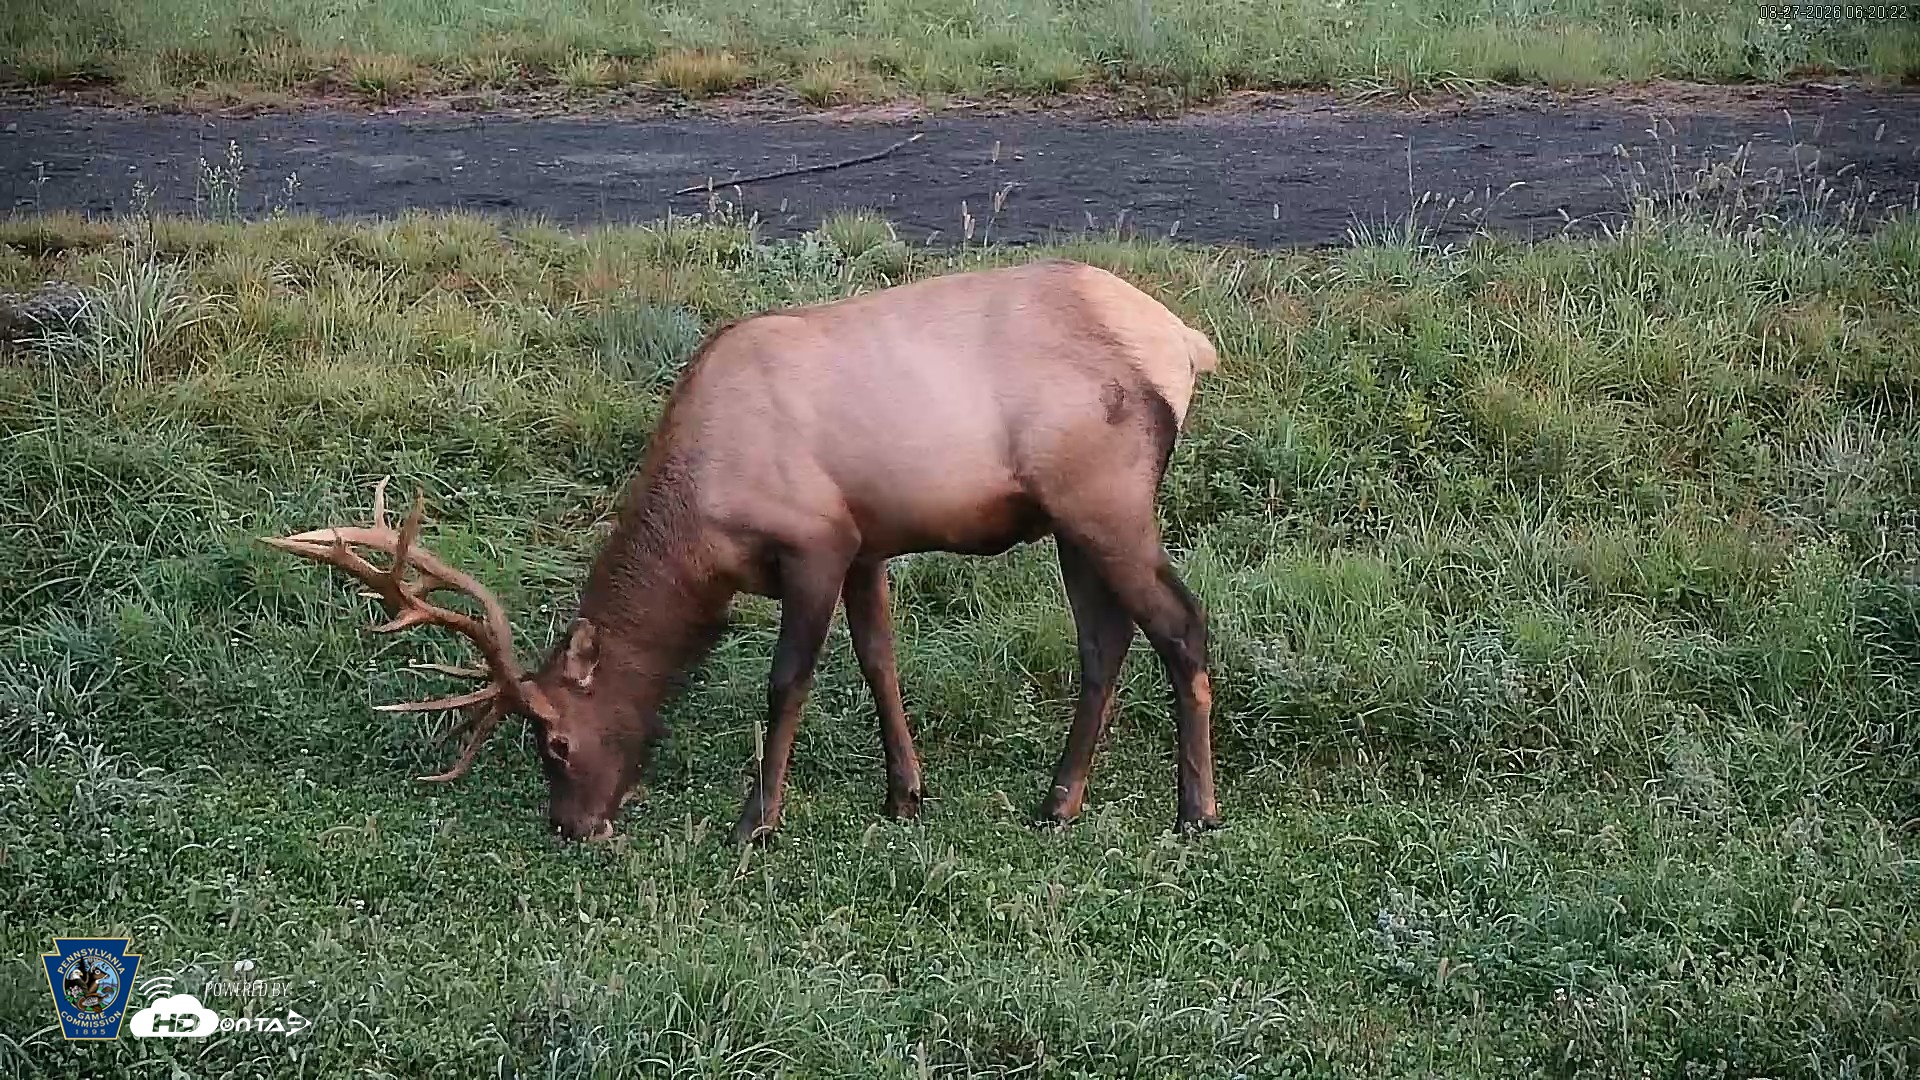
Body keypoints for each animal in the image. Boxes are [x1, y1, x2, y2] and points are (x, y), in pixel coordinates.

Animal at [261, 258, 1222, 845]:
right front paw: (905, 794)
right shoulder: (867, 543)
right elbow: (879, 659)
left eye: (554, 742)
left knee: (1182, 623)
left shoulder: (815, 542)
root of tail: (1187, 345)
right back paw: (1058, 802)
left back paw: (1196, 809)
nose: (573, 825)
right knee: (1105, 641)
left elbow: (787, 679)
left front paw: (756, 818)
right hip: (1071, 520)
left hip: (1103, 498)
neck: (703, 529)